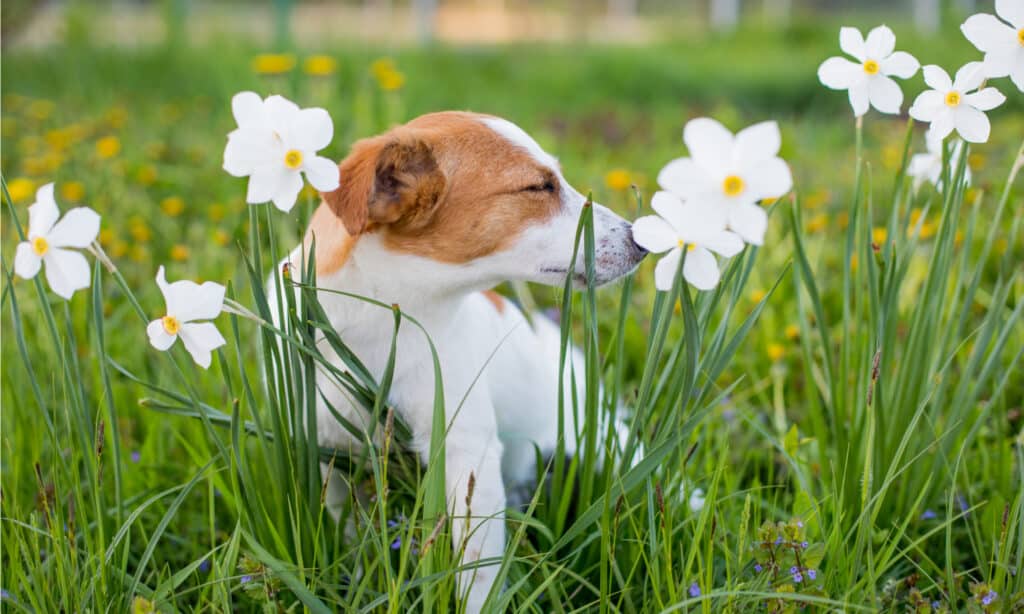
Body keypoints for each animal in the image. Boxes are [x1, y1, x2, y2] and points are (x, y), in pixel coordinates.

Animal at [272, 110, 638, 609]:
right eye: (539, 187)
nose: (642, 241)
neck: (382, 321)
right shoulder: (332, 452)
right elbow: (353, 539)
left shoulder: (468, 454)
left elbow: (476, 570)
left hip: (604, 445)